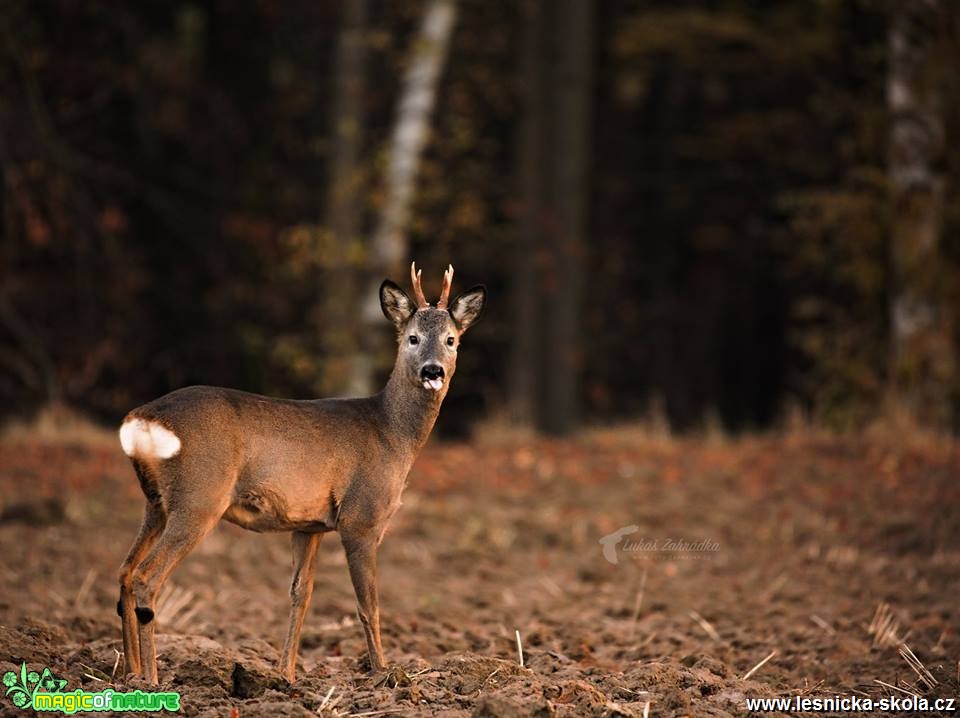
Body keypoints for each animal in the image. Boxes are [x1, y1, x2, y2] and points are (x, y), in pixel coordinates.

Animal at [115, 264, 484, 688]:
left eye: (451, 339)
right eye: (413, 338)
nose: (433, 370)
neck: (392, 434)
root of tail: (141, 418)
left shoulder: (309, 525)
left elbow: (300, 594)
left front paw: (286, 674)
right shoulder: (361, 517)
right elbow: (368, 605)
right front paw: (384, 674)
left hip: (156, 503)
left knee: (125, 571)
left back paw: (129, 673)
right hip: (198, 497)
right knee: (147, 576)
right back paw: (151, 679)